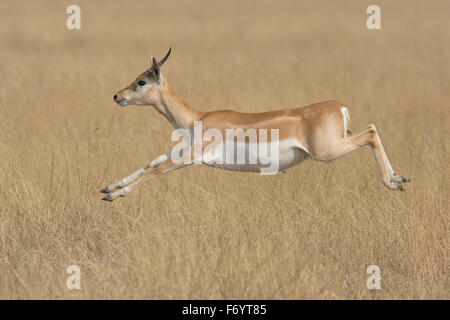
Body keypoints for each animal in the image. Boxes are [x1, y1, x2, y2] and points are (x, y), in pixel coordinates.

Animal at [100, 48, 410, 201]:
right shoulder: (187, 149)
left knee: (371, 133)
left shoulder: (194, 155)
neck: (198, 117)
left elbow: (159, 168)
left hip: (327, 151)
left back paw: (393, 182)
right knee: (372, 130)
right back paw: (399, 179)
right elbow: (153, 161)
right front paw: (109, 188)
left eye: (141, 81)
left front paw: (117, 195)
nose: (116, 96)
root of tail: (339, 106)